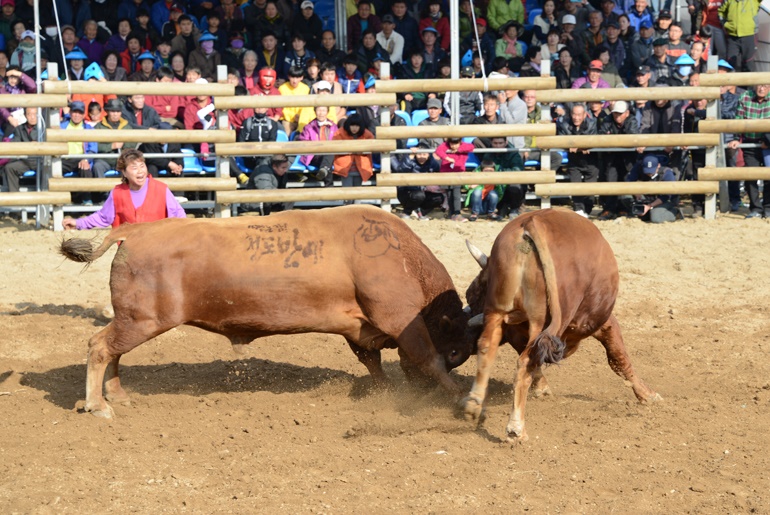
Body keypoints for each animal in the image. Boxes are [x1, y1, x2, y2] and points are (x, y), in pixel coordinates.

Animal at [58, 206, 468, 420]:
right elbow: (428, 358)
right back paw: (97, 404)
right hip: (142, 319)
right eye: (455, 351)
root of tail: (133, 232)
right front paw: (457, 395)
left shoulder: (359, 330)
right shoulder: (400, 319)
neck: (402, 256)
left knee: (113, 351)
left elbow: (373, 362)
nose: (420, 391)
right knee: (100, 347)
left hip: (133, 319)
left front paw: (386, 391)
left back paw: (116, 394)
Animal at [460, 210, 656, 444]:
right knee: (526, 361)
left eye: (473, 295)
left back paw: (473, 404)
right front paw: (647, 394)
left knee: (489, 348)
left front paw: (542, 388)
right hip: (544, 319)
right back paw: (516, 428)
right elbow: (619, 359)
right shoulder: (605, 322)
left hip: (498, 311)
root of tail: (531, 223)